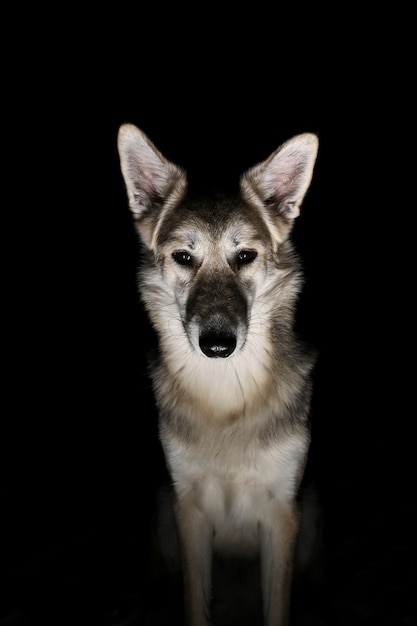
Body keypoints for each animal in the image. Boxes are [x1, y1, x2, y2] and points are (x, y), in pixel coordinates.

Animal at [117, 123, 318, 624]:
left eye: (244, 256)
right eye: (183, 258)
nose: (217, 345)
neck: (226, 397)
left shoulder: (283, 515)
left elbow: (277, 608)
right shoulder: (187, 510)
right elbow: (195, 604)